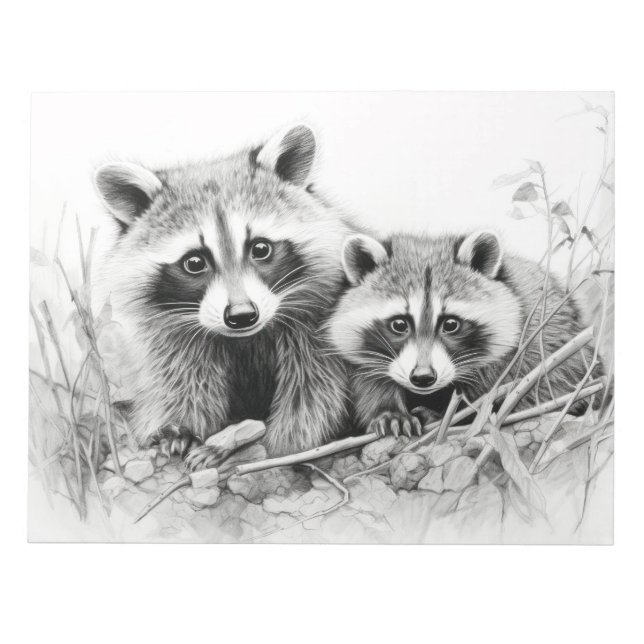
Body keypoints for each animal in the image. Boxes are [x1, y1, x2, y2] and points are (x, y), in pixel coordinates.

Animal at [95, 125, 357, 460]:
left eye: (261, 248)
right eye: (194, 262)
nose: (242, 316)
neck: (244, 340)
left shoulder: (317, 328)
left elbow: (313, 396)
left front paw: (277, 447)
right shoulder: (175, 340)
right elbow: (182, 385)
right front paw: (179, 429)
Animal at [328, 230, 600, 436]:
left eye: (450, 324)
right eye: (399, 325)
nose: (423, 378)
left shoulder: (529, 345)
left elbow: (503, 392)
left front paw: (447, 415)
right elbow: (371, 381)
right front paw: (389, 411)